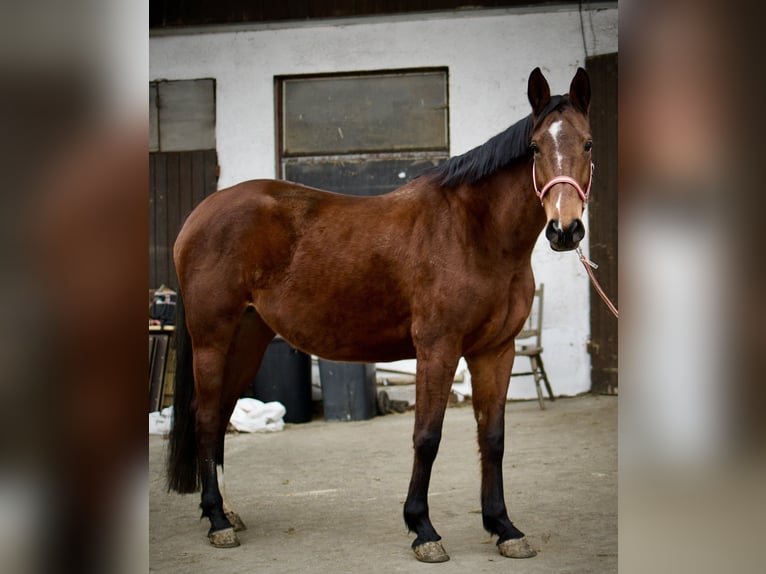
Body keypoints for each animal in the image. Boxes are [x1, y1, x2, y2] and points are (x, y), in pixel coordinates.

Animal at [166, 66, 593, 563]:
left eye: (587, 144)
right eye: (535, 147)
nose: (565, 230)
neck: (474, 232)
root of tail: (198, 216)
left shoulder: (496, 351)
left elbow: (493, 438)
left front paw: (503, 527)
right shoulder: (438, 348)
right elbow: (427, 437)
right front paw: (423, 529)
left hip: (247, 338)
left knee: (219, 415)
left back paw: (227, 513)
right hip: (212, 338)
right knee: (205, 417)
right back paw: (216, 520)